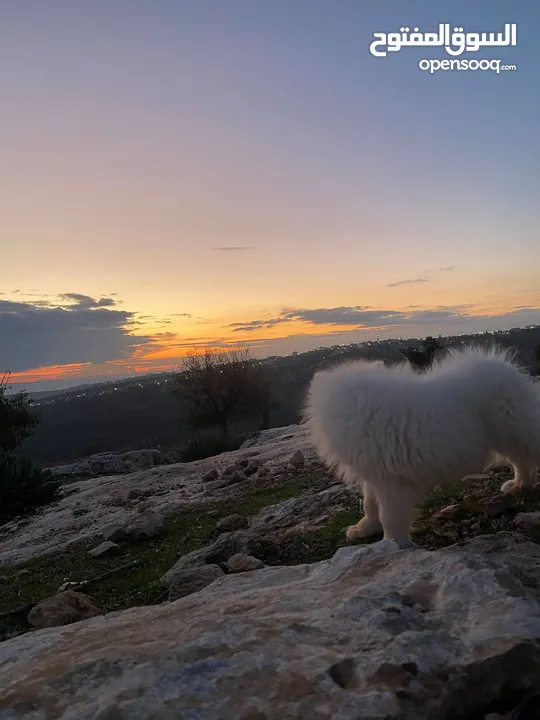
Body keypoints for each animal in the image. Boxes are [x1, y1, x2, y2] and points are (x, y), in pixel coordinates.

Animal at [304, 348, 540, 544]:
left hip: (517, 430)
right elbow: (369, 504)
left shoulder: (393, 481)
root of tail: (506, 367)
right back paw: (519, 485)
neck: (364, 407)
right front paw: (364, 529)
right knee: (521, 462)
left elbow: (390, 515)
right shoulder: (374, 474)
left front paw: (392, 544)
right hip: (507, 437)